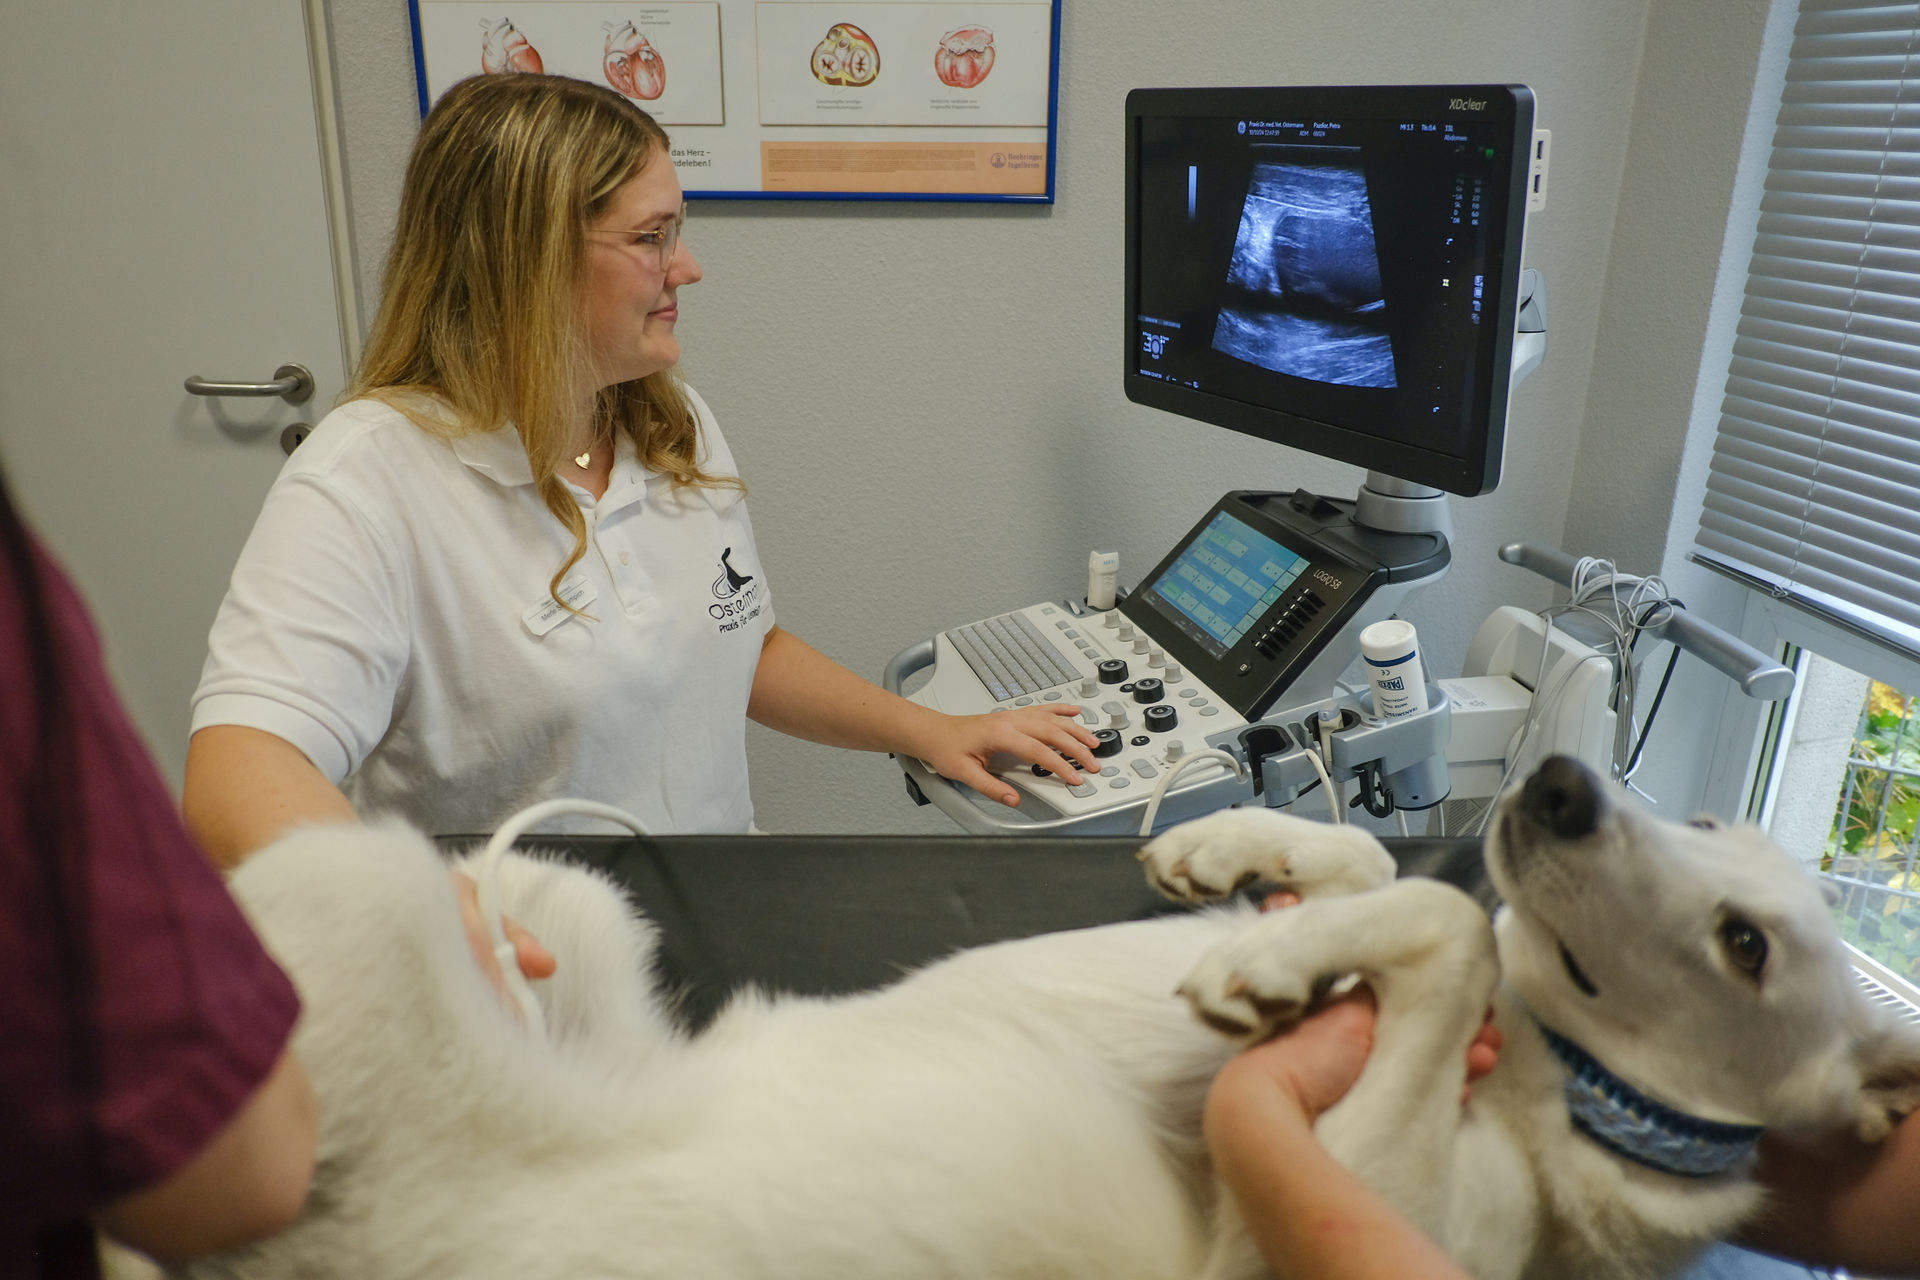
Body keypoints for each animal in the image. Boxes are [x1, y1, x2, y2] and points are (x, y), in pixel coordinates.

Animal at [177, 757, 1920, 1280]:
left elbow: (1454, 933)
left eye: (1748, 945)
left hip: (346, 912)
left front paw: (1263, 974)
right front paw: (1241, 867)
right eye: (1708, 812)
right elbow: (1391, 873)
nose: (1562, 784)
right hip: (566, 907)